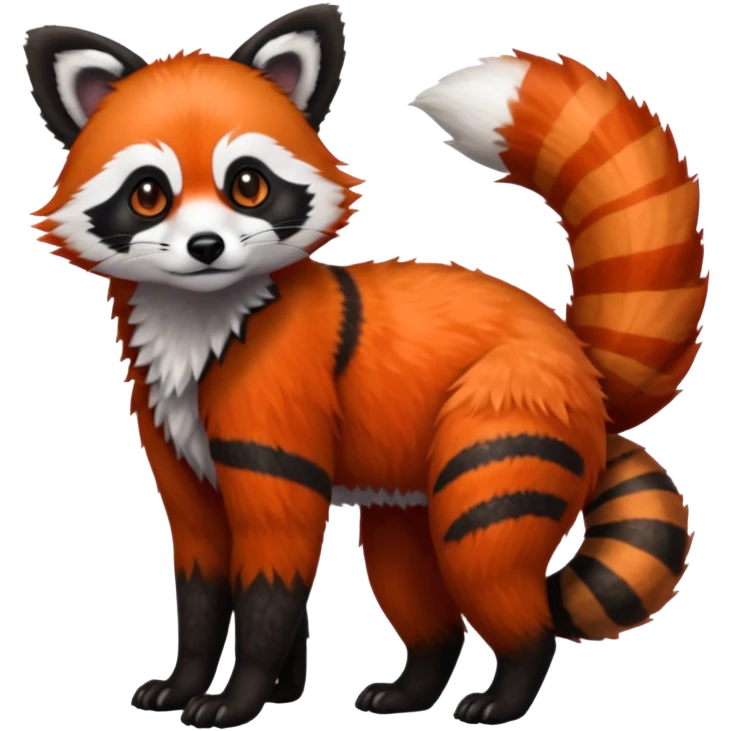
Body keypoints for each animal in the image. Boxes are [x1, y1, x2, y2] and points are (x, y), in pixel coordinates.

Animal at [23, 5, 707, 729]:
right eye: (148, 194)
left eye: (247, 186)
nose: (206, 247)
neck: (198, 322)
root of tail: (578, 360)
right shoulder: (187, 477)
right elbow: (205, 596)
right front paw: (229, 686)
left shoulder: (276, 450)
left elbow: (267, 590)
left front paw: (239, 698)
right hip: (405, 500)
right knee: (425, 606)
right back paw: (411, 691)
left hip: (495, 454)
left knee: (502, 584)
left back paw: (503, 696)